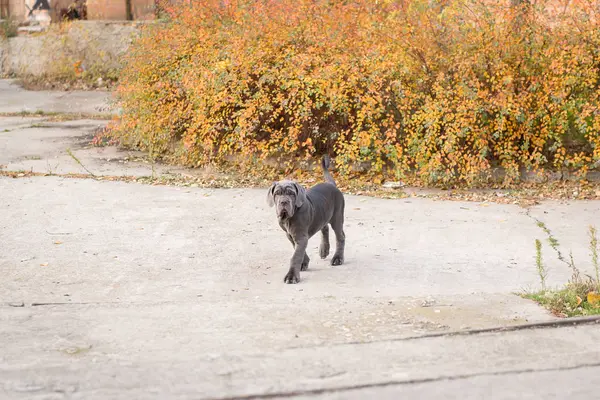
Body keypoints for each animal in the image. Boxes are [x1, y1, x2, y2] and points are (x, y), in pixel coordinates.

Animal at [268, 156, 346, 284]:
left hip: (337, 217)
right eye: (277, 193)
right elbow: (298, 249)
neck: (290, 217)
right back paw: (324, 250)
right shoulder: (290, 235)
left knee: (340, 236)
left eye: (291, 194)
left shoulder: (301, 235)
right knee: (324, 227)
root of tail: (332, 185)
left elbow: (295, 256)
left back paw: (338, 258)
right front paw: (304, 263)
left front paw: (292, 276)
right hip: (322, 213)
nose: (284, 202)